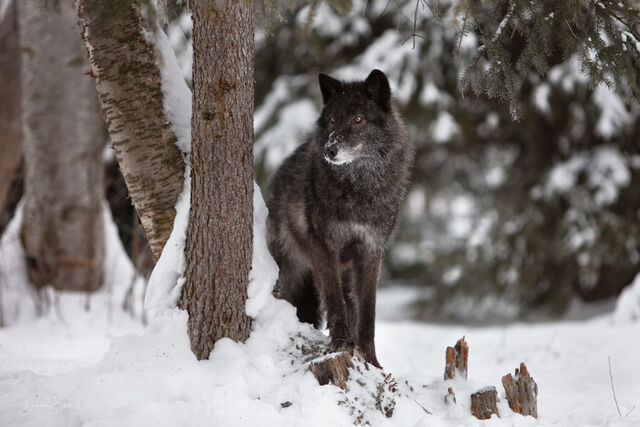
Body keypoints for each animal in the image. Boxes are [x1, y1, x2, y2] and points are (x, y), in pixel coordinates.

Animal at [265, 69, 413, 368]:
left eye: (358, 119)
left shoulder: (371, 252)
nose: (330, 150)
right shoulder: (325, 247)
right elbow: (334, 302)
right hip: (290, 274)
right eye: (332, 120)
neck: (359, 189)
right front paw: (341, 344)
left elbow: (368, 314)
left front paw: (371, 359)